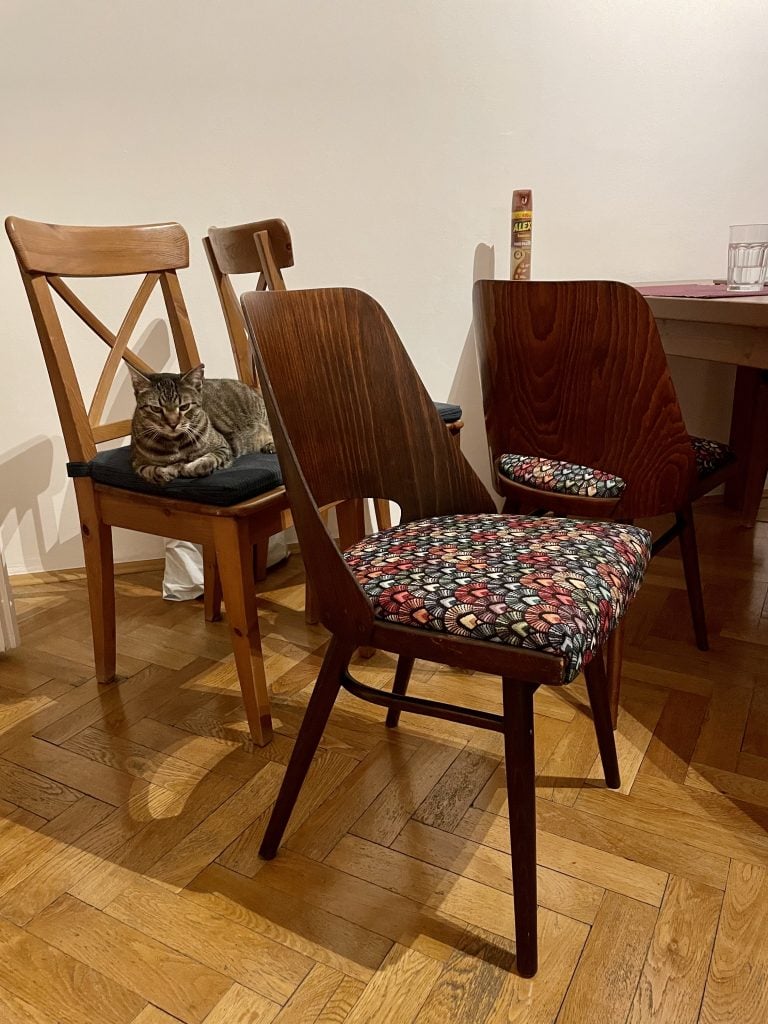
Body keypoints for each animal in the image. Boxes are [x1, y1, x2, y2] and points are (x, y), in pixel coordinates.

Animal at [129, 362, 276, 485]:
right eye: (156, 409)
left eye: (184, 407)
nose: (173, 424)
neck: (175, 443)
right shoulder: (137, 464)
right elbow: (151, 471)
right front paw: (168, 470)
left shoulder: (223, 447)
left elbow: (208, 459)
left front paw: (189, 467)